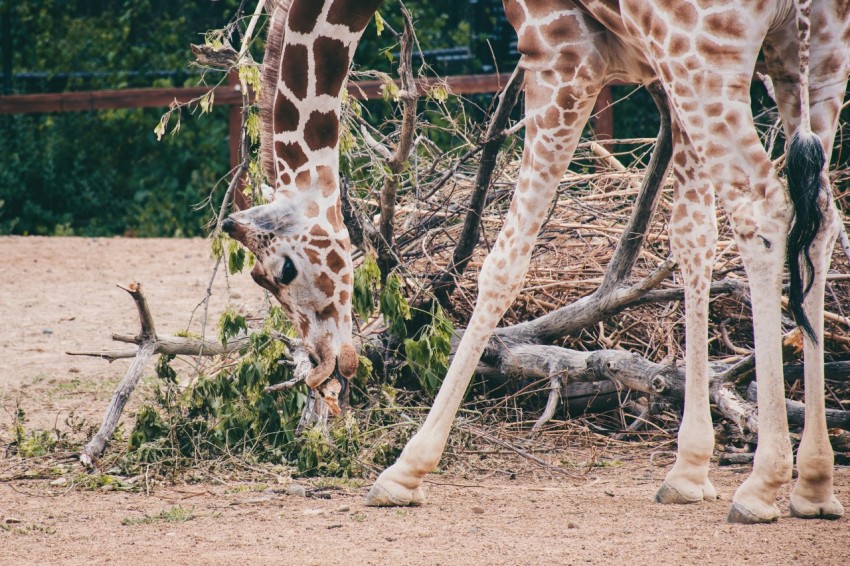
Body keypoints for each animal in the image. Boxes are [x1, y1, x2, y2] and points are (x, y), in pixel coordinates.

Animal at [227, 0, 848, 528]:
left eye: (280, 272)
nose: (325, 367)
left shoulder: (562, 54)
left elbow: (505, 259)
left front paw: (405, 471)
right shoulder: (662, 77)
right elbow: (692, 237)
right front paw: (689, 472)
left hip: (709, 56)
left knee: (762, 205)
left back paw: (762, 486)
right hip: (809, 57)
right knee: (818, 215)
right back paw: (814, 485)